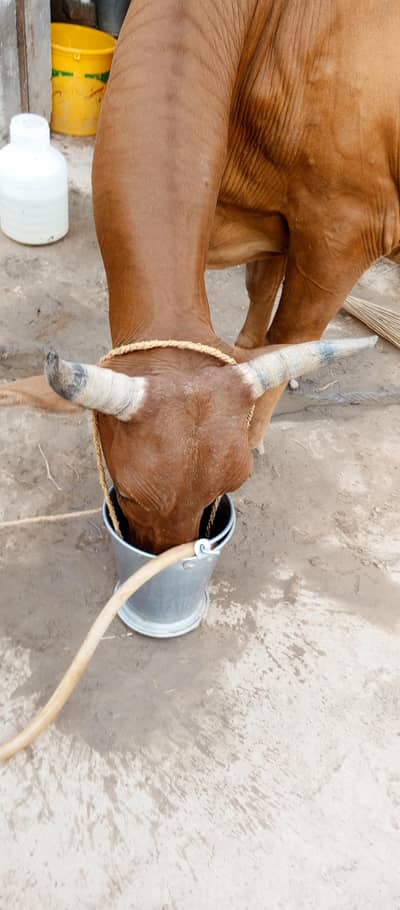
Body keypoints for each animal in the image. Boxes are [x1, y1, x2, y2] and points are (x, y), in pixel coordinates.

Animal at [5, 0, 392, 553]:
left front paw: (258, 433)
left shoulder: (343, 233)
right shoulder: (281, 224)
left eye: (233, 484)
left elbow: (292, 333)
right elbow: (260, 315)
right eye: (128, 492)